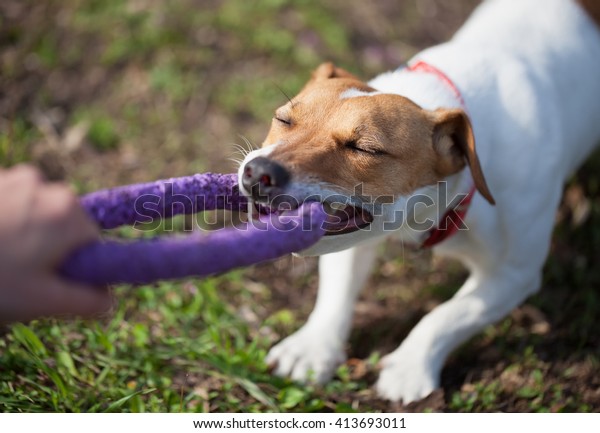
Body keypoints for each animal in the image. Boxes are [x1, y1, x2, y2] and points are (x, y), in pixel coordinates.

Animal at [237, 0, 600, 402]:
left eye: (365, 148)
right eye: (283, 119)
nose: (257, 172)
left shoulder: (513, 274)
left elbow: (447, 315)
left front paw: (409, 367)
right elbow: (338, 292)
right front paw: (313, 348)